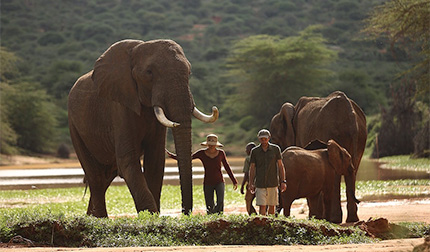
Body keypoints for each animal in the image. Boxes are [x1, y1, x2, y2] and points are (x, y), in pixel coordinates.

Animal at [69, 39, 218, 217]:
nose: (185, 213)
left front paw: (153, 216)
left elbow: (155, 160)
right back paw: (100, 219)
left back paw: (91, 217)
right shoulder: (120, 106)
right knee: (96, 177)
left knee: (105, 177)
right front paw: (151, 216)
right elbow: (128, 160)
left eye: (189, 73)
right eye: (149, 73)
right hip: (74, 126)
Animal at [268, 90, 366, 222]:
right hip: (359, 140)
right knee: (352, 169)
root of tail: (351, 116)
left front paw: (314, 218)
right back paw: (351, 219)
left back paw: (333, 219)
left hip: (327, 131)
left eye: (274, 140)